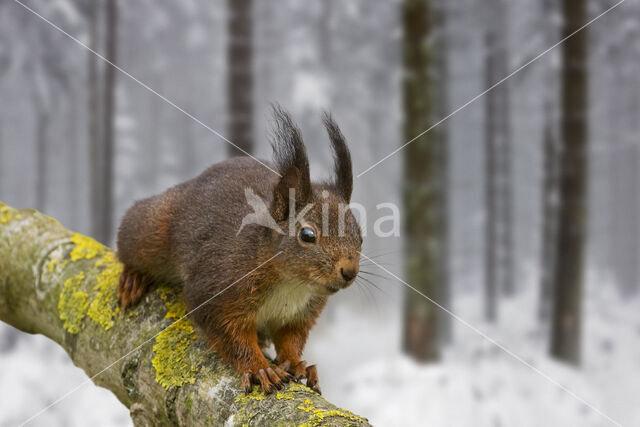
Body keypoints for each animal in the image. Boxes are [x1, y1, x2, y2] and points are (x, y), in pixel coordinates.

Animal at [115, 108, 362, 394]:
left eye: (360, 234)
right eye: (307, 235)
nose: (349, 271)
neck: (291, 284)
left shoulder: (301, 313)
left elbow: (291, 339)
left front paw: (298, 364)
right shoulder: (219, 286)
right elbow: (229, 334)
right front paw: (260, 369)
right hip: (152, 230)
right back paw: (133, 278)